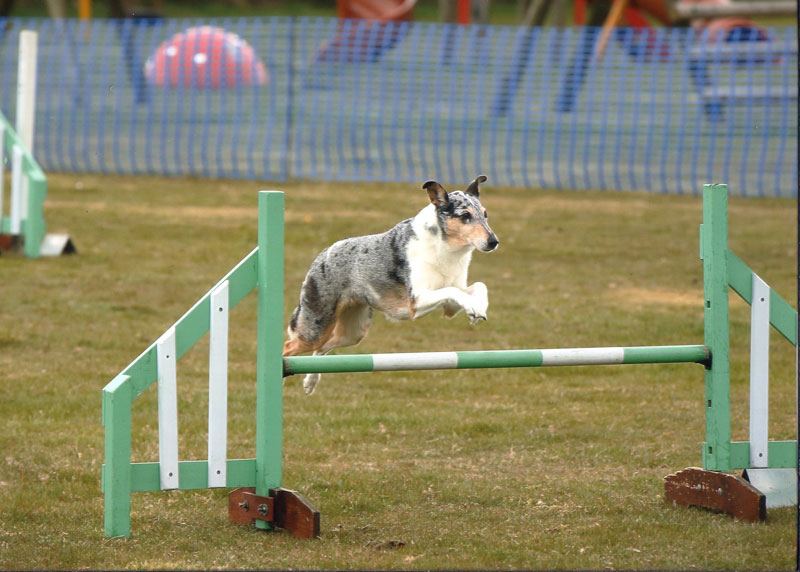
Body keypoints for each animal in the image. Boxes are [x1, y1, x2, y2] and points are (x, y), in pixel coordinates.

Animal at [282, 177, 500, 396]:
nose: (494, 241)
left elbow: (478, 286)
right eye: (465, 215)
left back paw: (310, 382)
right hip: (315, 327)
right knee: (288, 347)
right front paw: (474, 308)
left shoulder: (449, 306)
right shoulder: (416, 301)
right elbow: (452, 290)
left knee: (321, 348)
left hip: (353, 332)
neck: (445, 248)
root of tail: (323, 254)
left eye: (485, 214)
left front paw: (477, 309)